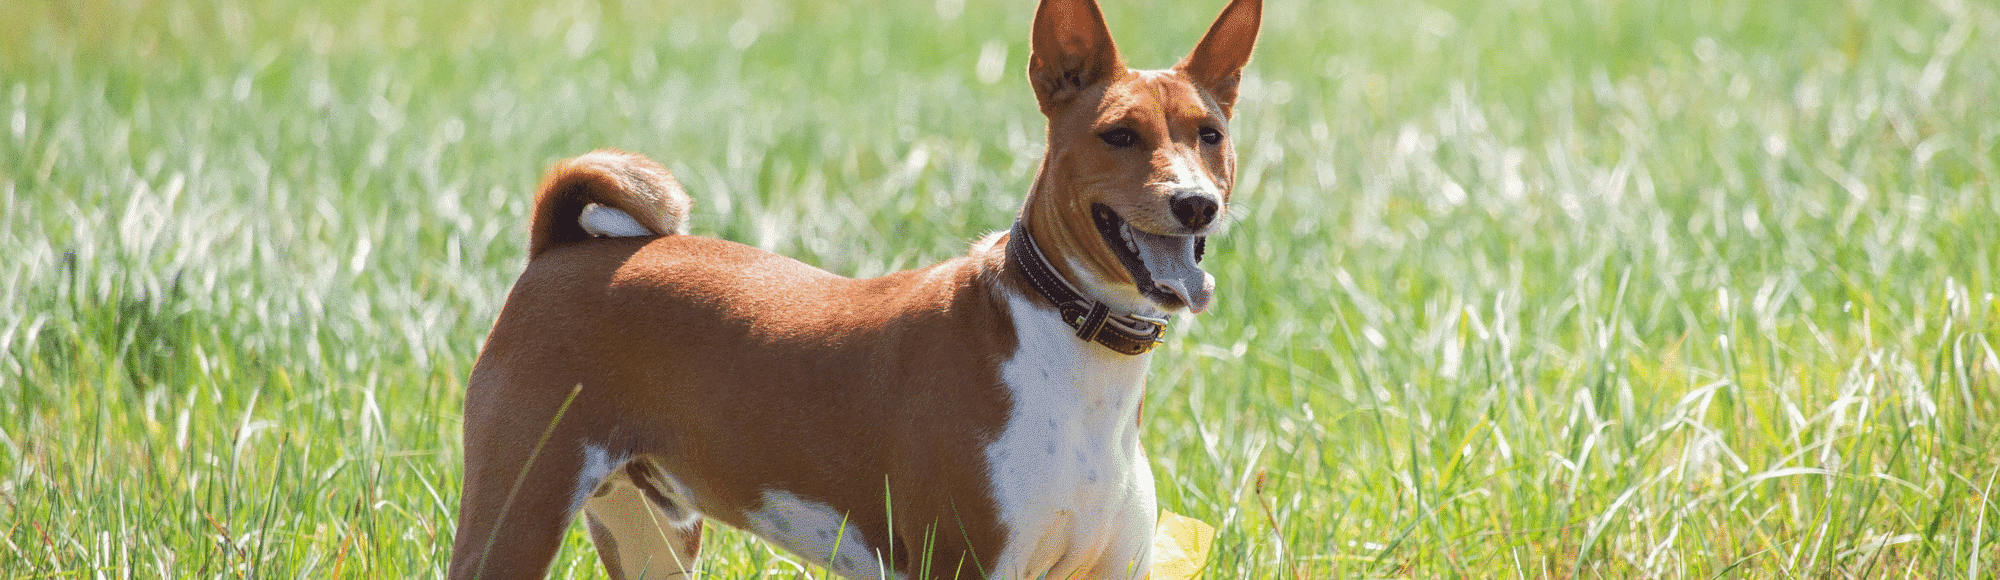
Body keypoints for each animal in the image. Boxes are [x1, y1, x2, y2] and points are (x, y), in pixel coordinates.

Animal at [446, 0, 1256, 576]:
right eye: (1120, 135)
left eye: (1208, 135)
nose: (1194, 203)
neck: (1074, 345)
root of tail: (559, 249)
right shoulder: (961, 566)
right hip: (517, 515)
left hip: (652, 537)